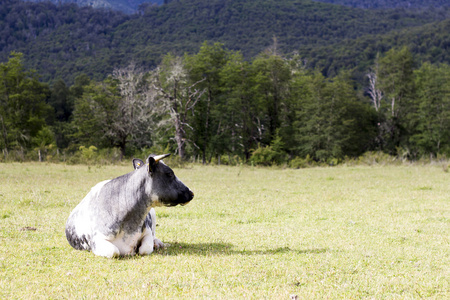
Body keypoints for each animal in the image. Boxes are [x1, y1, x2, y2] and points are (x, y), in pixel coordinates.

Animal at [65, 155, 193, 258]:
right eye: (170, 173)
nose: (191, 193)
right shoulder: (97, 240)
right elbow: (114, 252)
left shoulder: (147, 232)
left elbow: (145, 248)